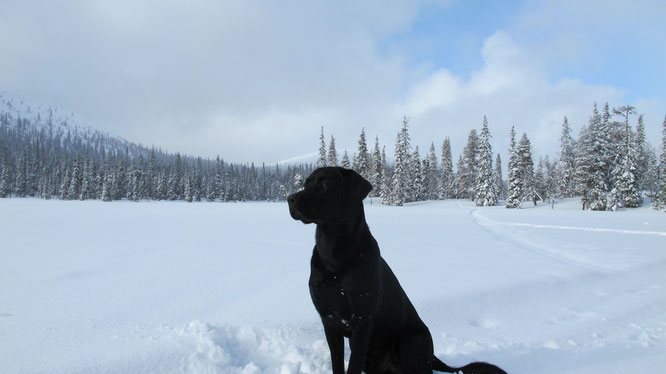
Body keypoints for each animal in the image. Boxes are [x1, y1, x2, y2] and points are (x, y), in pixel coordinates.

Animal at [286, 167, 504, 374]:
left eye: (324, 184)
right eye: (305, 183)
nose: (290, 199)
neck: (334, 254)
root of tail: (432, 355)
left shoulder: (361, 321)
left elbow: (353, 366)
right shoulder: (329, 320)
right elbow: (338, 363)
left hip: (407, 341)